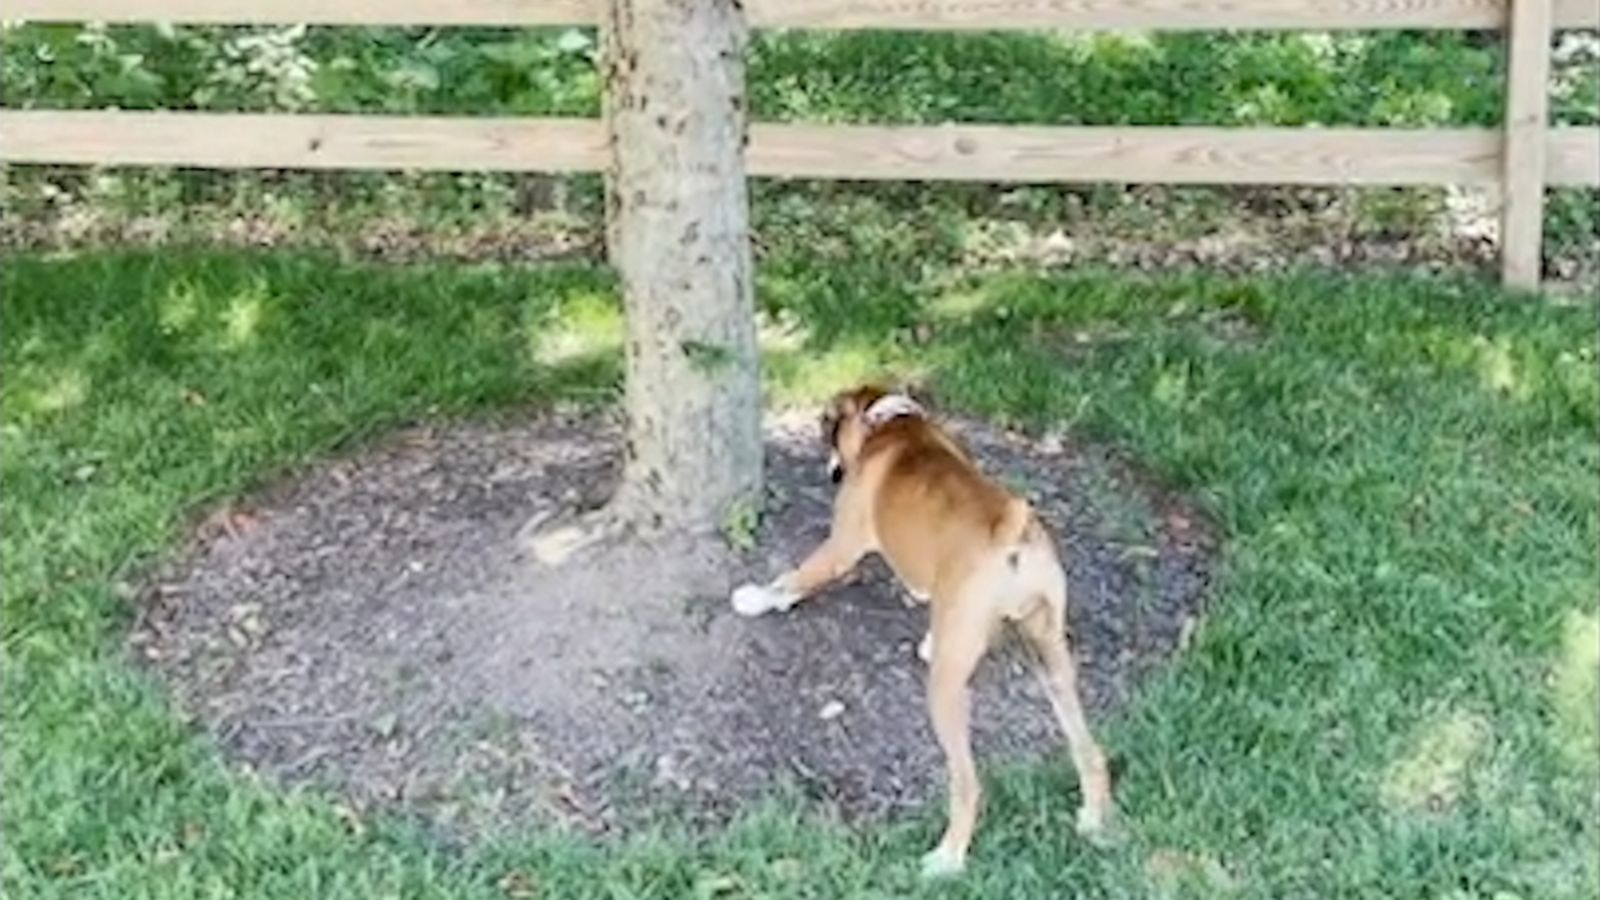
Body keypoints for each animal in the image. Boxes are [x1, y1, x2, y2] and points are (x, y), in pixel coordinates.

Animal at [732, 385, 1113, 877]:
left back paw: (947, 860)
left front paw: (755, 599)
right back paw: (1094, 820)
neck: (891, 424)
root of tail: (1012, 532)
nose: (830, 466)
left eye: (827, 424)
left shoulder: (840, 547)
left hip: (947, 691)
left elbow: (792, 580)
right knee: (1090, 750)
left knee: (968, 786)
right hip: (1052, 655)